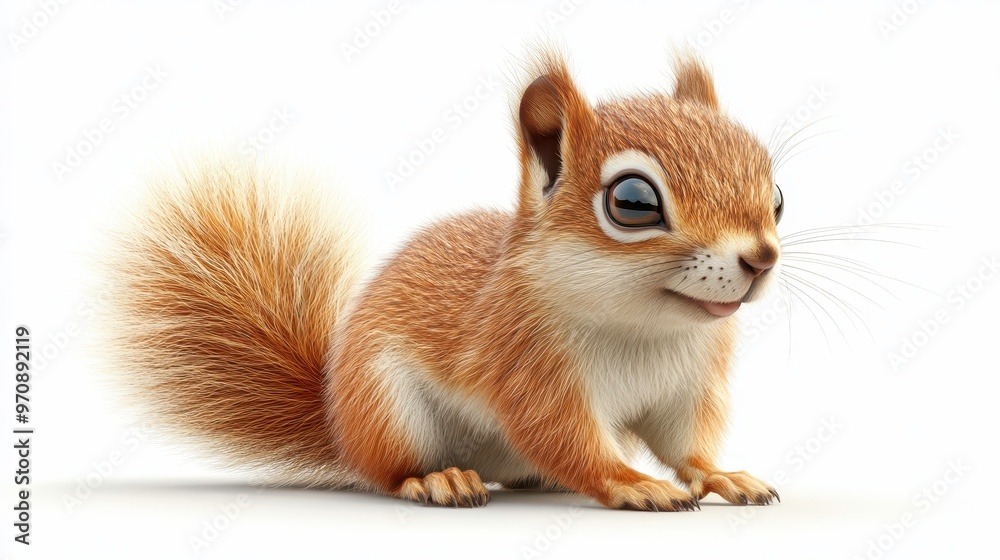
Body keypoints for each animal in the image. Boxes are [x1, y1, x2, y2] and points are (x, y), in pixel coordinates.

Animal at [106, 48, 784, 511]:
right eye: (634, 202)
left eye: (775, 194)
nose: (761, 259)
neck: (646, 325)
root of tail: (340, 421)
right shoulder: (528, 365)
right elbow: (568, 441)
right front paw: (634, 484)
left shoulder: (690, 383)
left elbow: (685, 443)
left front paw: (723, 474)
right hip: (388, 407)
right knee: (391, 470)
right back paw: (439, 478)